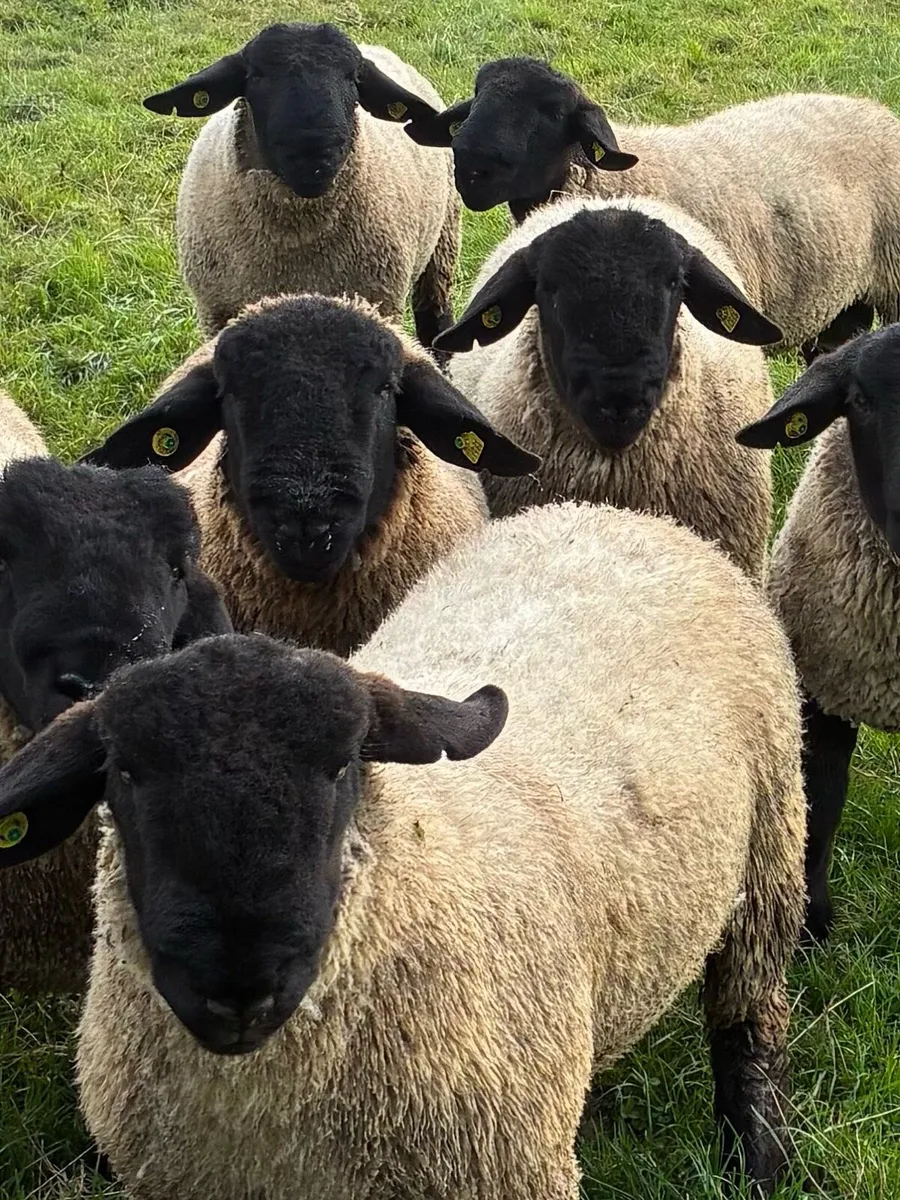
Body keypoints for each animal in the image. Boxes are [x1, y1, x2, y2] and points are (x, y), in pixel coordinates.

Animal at [0, 499, 806, 1197]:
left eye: (343, 765)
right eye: (124, 773)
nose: (237, 988)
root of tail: (623, 516)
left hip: (771, 846)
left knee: (749, 1022)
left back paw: (757, 1159)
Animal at [144, 22, 460, 350]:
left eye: (353, 77)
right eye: (256, 75)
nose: (314, 155)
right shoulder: (217, 311)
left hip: (442, 240)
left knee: (434, 319)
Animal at [406, 57, 900, 356]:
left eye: (553, 112)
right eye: (477, 98)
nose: (471, 167)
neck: (608, 180)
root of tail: (874, 109)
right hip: (840, 300)